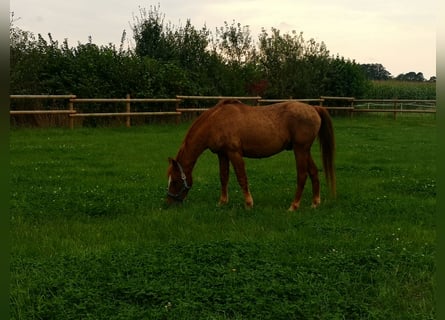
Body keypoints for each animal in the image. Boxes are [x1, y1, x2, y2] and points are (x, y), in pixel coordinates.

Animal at [167, 99, 336, 211]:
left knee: (302, 175)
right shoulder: (222, 154)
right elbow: (224, 177)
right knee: (313, 172)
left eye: (175, 181)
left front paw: (248, 204)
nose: (169, 202)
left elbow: (242, 178)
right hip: (305, 150)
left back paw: (293, 206)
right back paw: (315, 203)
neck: (215, 122)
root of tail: (314, 108)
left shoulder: (234, 153)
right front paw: (222, 202)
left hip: (300, 150)